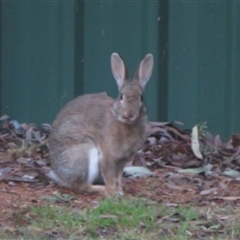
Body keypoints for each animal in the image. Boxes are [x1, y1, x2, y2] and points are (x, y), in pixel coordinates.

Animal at [48, 51, 155, 196]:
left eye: (141, 98)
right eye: (121, 96)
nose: (129, 115)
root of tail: (58, 175)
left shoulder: (122, 160)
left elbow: (118, 177)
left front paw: (120, 191)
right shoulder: (107, 155)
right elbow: (110, 176)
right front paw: (112, 193)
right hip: (84, 155)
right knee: (81, 186)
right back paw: (101, 189)